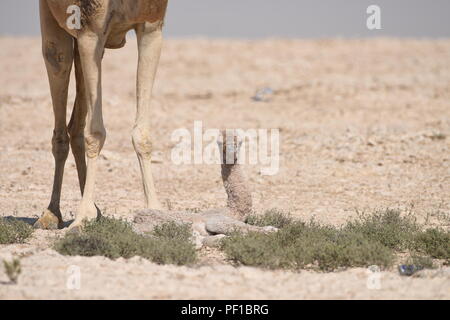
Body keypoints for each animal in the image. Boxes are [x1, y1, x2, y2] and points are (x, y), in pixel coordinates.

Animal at [35, 0, 169, 230]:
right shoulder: (91, 31)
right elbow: (96, 132)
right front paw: (82, 216)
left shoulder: (152, 27)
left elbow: (142, 134)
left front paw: (155, 210)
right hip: (54, 23)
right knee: (57, 59)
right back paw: (51, 215)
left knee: (76, 129)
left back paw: (95, 210)